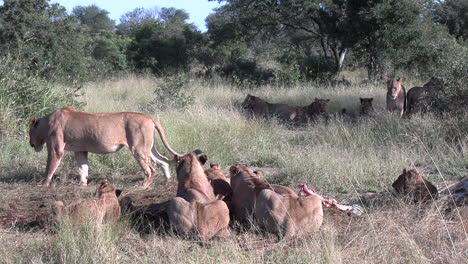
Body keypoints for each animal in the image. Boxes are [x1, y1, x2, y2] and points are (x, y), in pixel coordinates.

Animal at [27, 106, 181, 188]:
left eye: (29, 132)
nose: (30, 143)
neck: (46, 122)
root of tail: (149, 117)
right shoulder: (80, 150)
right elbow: (83, 168)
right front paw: (82, 184)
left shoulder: (56, 148)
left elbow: (50, 166)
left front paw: (43, 184)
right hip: (148, 148)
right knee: (164, 160)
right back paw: (167, 181)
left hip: (138, 148)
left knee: (150, 169)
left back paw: (142, 186)